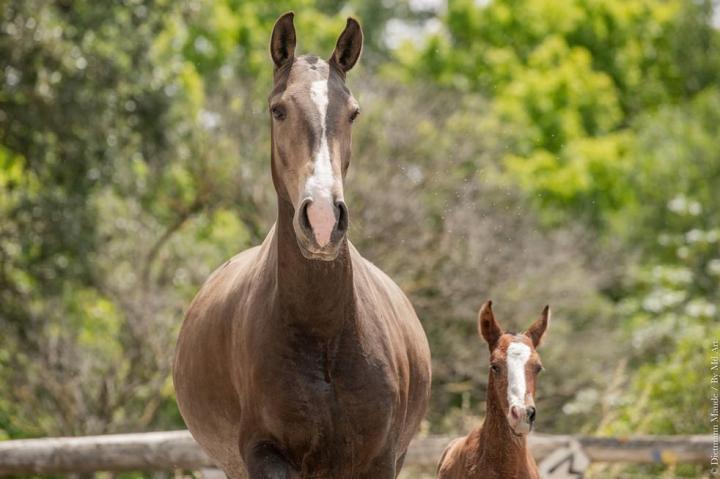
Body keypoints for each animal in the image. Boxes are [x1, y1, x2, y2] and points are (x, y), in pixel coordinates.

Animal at [173, 12, 432, 479]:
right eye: (278, 110)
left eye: (353, 113)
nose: (324, 220)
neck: (324, 332)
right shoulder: (264, 454)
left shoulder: (381, 458)